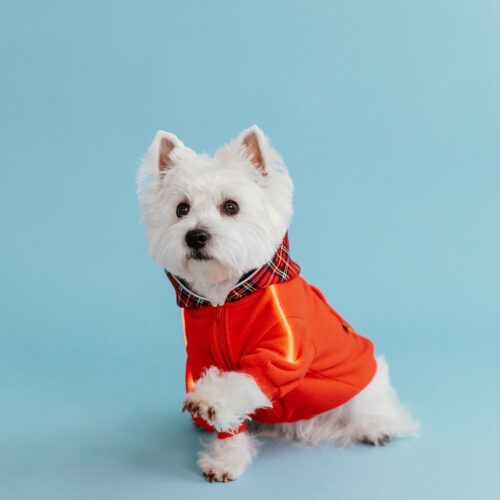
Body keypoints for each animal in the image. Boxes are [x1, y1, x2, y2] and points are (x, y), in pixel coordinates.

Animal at [137, 127, 418, 482]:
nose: (196, 236)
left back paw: (376, 427)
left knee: (375, 404)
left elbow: (244, 381)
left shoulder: (280, 353)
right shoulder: (201, 357)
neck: (223, 301)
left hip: (362, 374)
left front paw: (210, 402)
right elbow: (229, 419)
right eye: (181, 209)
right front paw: (225, 458)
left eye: (231, 206)